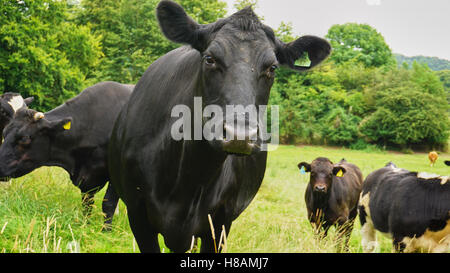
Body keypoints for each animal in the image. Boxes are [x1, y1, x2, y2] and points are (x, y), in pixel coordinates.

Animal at [0, 81, 134, 227]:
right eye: (4, 133)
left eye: (24, 138)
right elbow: (87, 204)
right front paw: (85, 225)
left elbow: (108, 204)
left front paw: (106, 230)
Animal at [106, 0, 330, 251]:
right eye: (210, 59)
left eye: (272, 68)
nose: (240, 135)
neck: (190, 175)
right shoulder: (138, 214)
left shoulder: (221, 220)